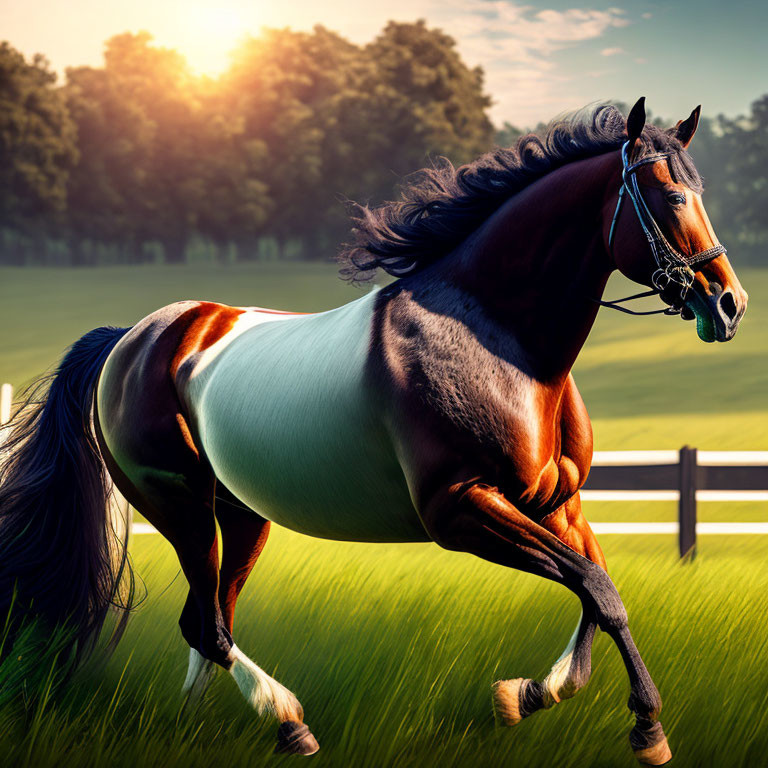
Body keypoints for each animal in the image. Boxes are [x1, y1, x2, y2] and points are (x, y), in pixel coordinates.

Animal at [0, 99, 744, 764]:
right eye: (670, 196)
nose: (728, 304)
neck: (499, 341)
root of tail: (132, 337)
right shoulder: (461, 509)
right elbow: (597, 589)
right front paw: (634, 726)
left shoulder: (555, 503)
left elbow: (599, 592)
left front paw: (542, 698)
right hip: (178, 504)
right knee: (206, 626)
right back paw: (289, 724)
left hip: (239, 512)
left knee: (210, 620)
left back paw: (200, 725)